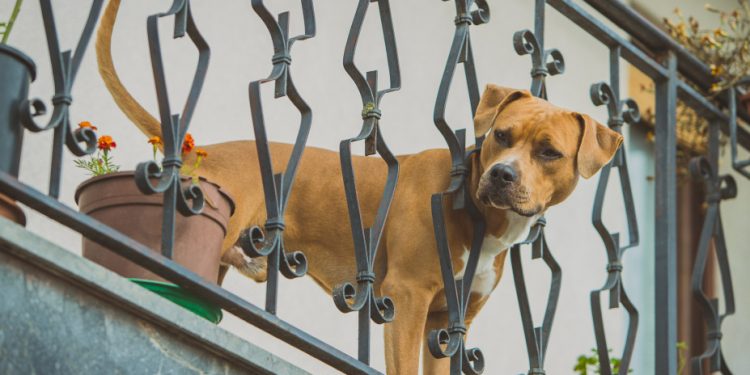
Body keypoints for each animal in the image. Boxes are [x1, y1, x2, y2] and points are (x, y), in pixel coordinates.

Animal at [95, 1, 624, 374]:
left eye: (549, 152)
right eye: (501, 136)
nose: (503, 175)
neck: (479, 213)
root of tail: (204, 150)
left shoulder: (445, 325)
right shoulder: (406, 297)